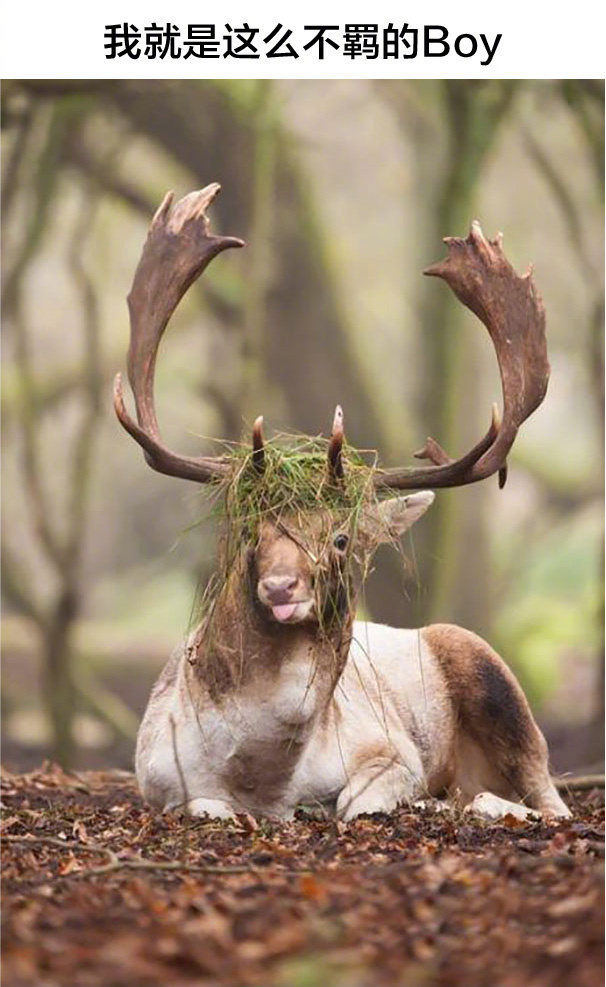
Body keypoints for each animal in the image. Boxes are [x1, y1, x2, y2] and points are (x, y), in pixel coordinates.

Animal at [115, 181, 576, 824]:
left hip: (495, 677)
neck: (266, 781)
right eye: (253, 531)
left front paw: (406, 802)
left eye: (340, 536)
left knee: (551, 802)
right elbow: (208, 807)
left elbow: (358, 803)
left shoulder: (391, 750)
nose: (280, 587)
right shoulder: (157, 779)